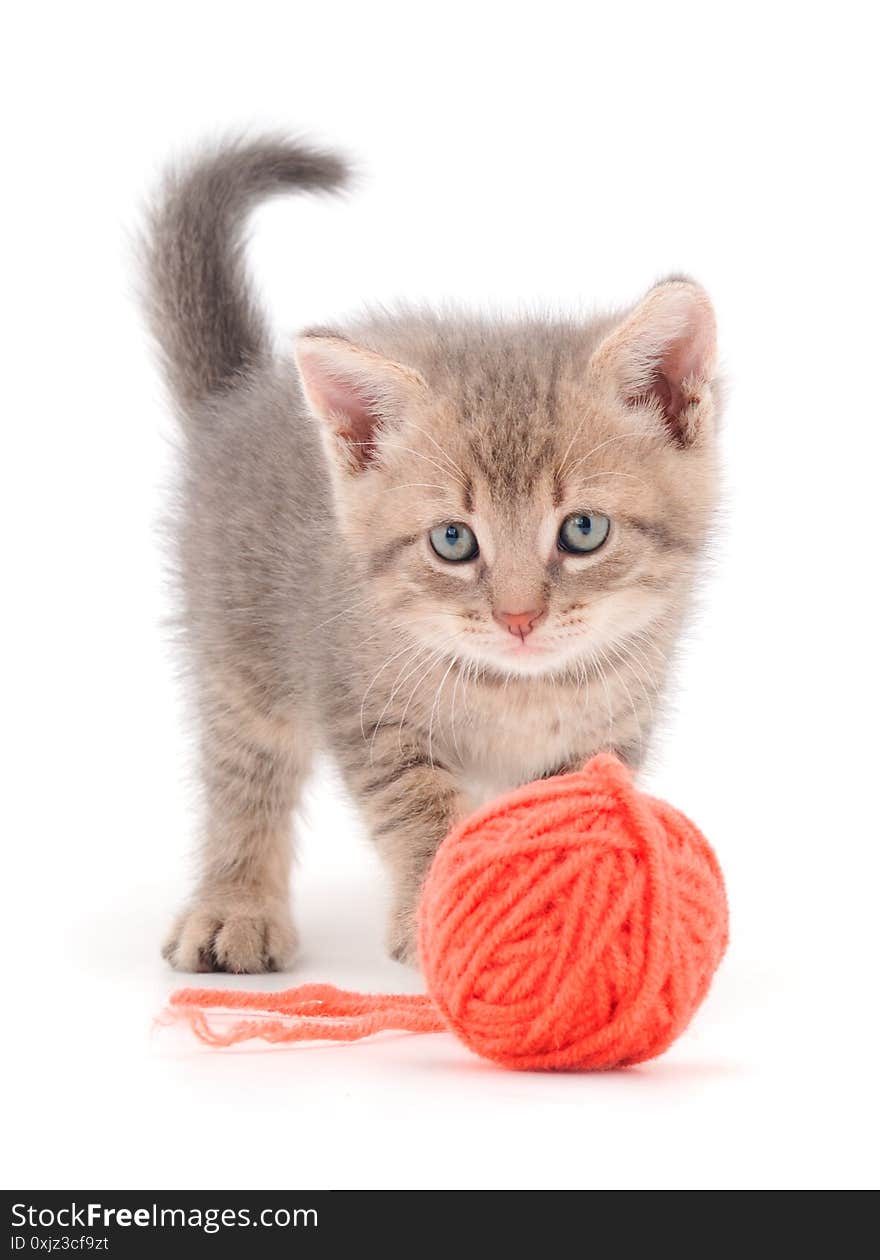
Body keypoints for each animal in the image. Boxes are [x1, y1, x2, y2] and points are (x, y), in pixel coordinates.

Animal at [143, 132, 721, 967]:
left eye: (583, 530)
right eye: (454, 541)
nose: (519, 619)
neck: (517, 692)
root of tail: (240, 397)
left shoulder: (611, 730)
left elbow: (562, 812)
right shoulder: (363, 706)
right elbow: (413, 807)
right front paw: (439, 914)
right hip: (241, 647)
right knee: (245, 773)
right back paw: (235, 906)